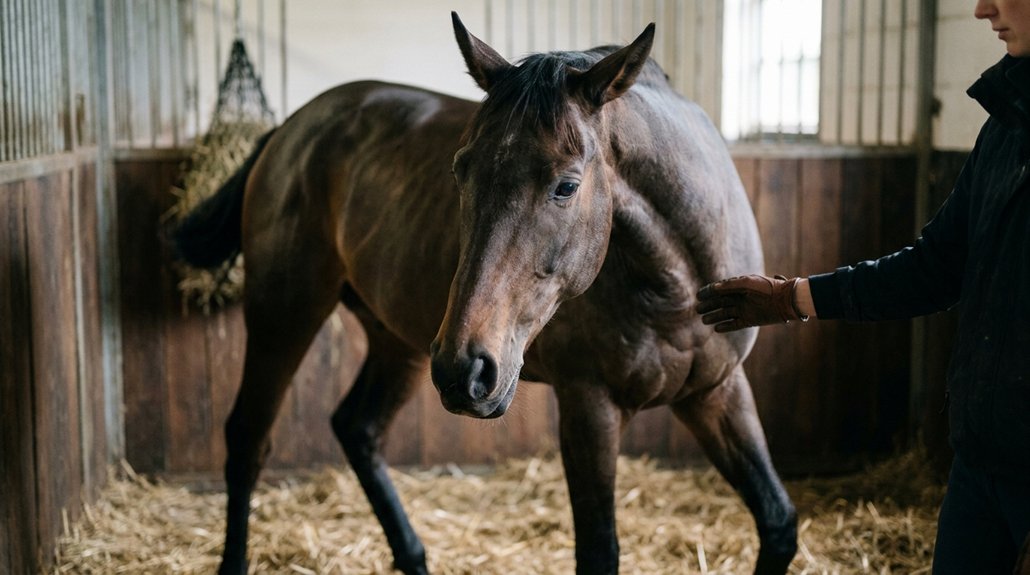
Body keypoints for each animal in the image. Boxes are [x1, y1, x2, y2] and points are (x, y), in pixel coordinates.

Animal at [174, 12, 797, 575]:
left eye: (566, 186)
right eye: (460, 171)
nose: (466, 369)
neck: (679, 286)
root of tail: (290, 129)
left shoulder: (717, 391)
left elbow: (778, 522)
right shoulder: (589, 408)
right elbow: (600, 554)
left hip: (398, 342)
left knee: (358, 429)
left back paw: (414, 558)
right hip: (285, 316)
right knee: (248, 437)